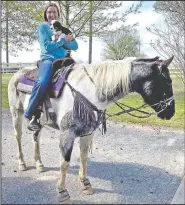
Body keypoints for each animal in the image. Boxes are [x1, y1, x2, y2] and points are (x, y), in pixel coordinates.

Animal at [7, 55, 175, 203]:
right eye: (167, 81)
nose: (171, 112)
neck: (88, 92)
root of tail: (17, 74)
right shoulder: (67, 134)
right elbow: (65, 162)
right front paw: (62, 192)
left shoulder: (87, 133)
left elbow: (83, 157)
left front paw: (85, 183)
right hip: (16, 113)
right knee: (18, 136)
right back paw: (22, 163)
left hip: (38, 122)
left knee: (35, 138)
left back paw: (40, 165)